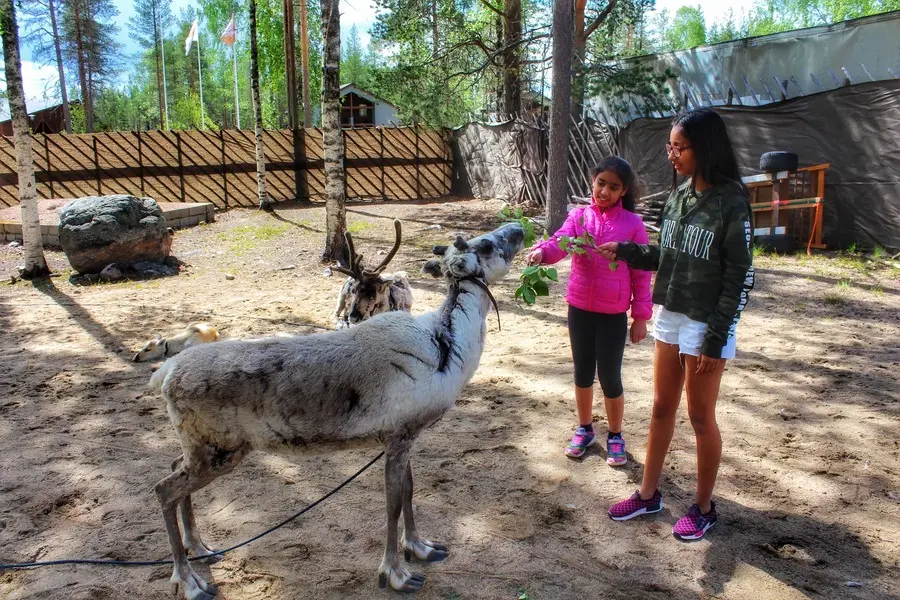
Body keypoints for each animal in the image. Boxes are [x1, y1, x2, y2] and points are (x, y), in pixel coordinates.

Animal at [148, 222, 525, 599]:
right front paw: (396, 574)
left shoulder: (404, 436)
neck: (448, 345)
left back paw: (200, 548)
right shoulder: (398, 437)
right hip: (221, 450)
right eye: (486, 244)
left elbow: (409, 492)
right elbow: (392, 505)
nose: (519, 228)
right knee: (163, 490)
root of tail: (165, 373)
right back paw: (188, 580)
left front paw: (421, 548)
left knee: (173, 468)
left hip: (202, 446)